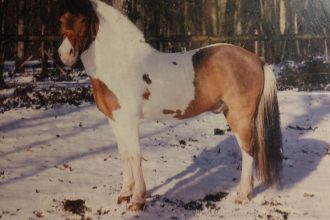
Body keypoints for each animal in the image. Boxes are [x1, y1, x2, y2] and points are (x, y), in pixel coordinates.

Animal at [56, 0, 282, 211]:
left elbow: (135, 156)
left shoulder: (129, 121)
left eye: (84, 19)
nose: (65, 54)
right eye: (61, 20)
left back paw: (242, 195)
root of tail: (256, 60)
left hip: (240, 116)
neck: (122, 65)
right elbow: (124, 154)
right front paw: (124, 194)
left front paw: (137, 199)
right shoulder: (115, 120)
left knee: (248, 151)